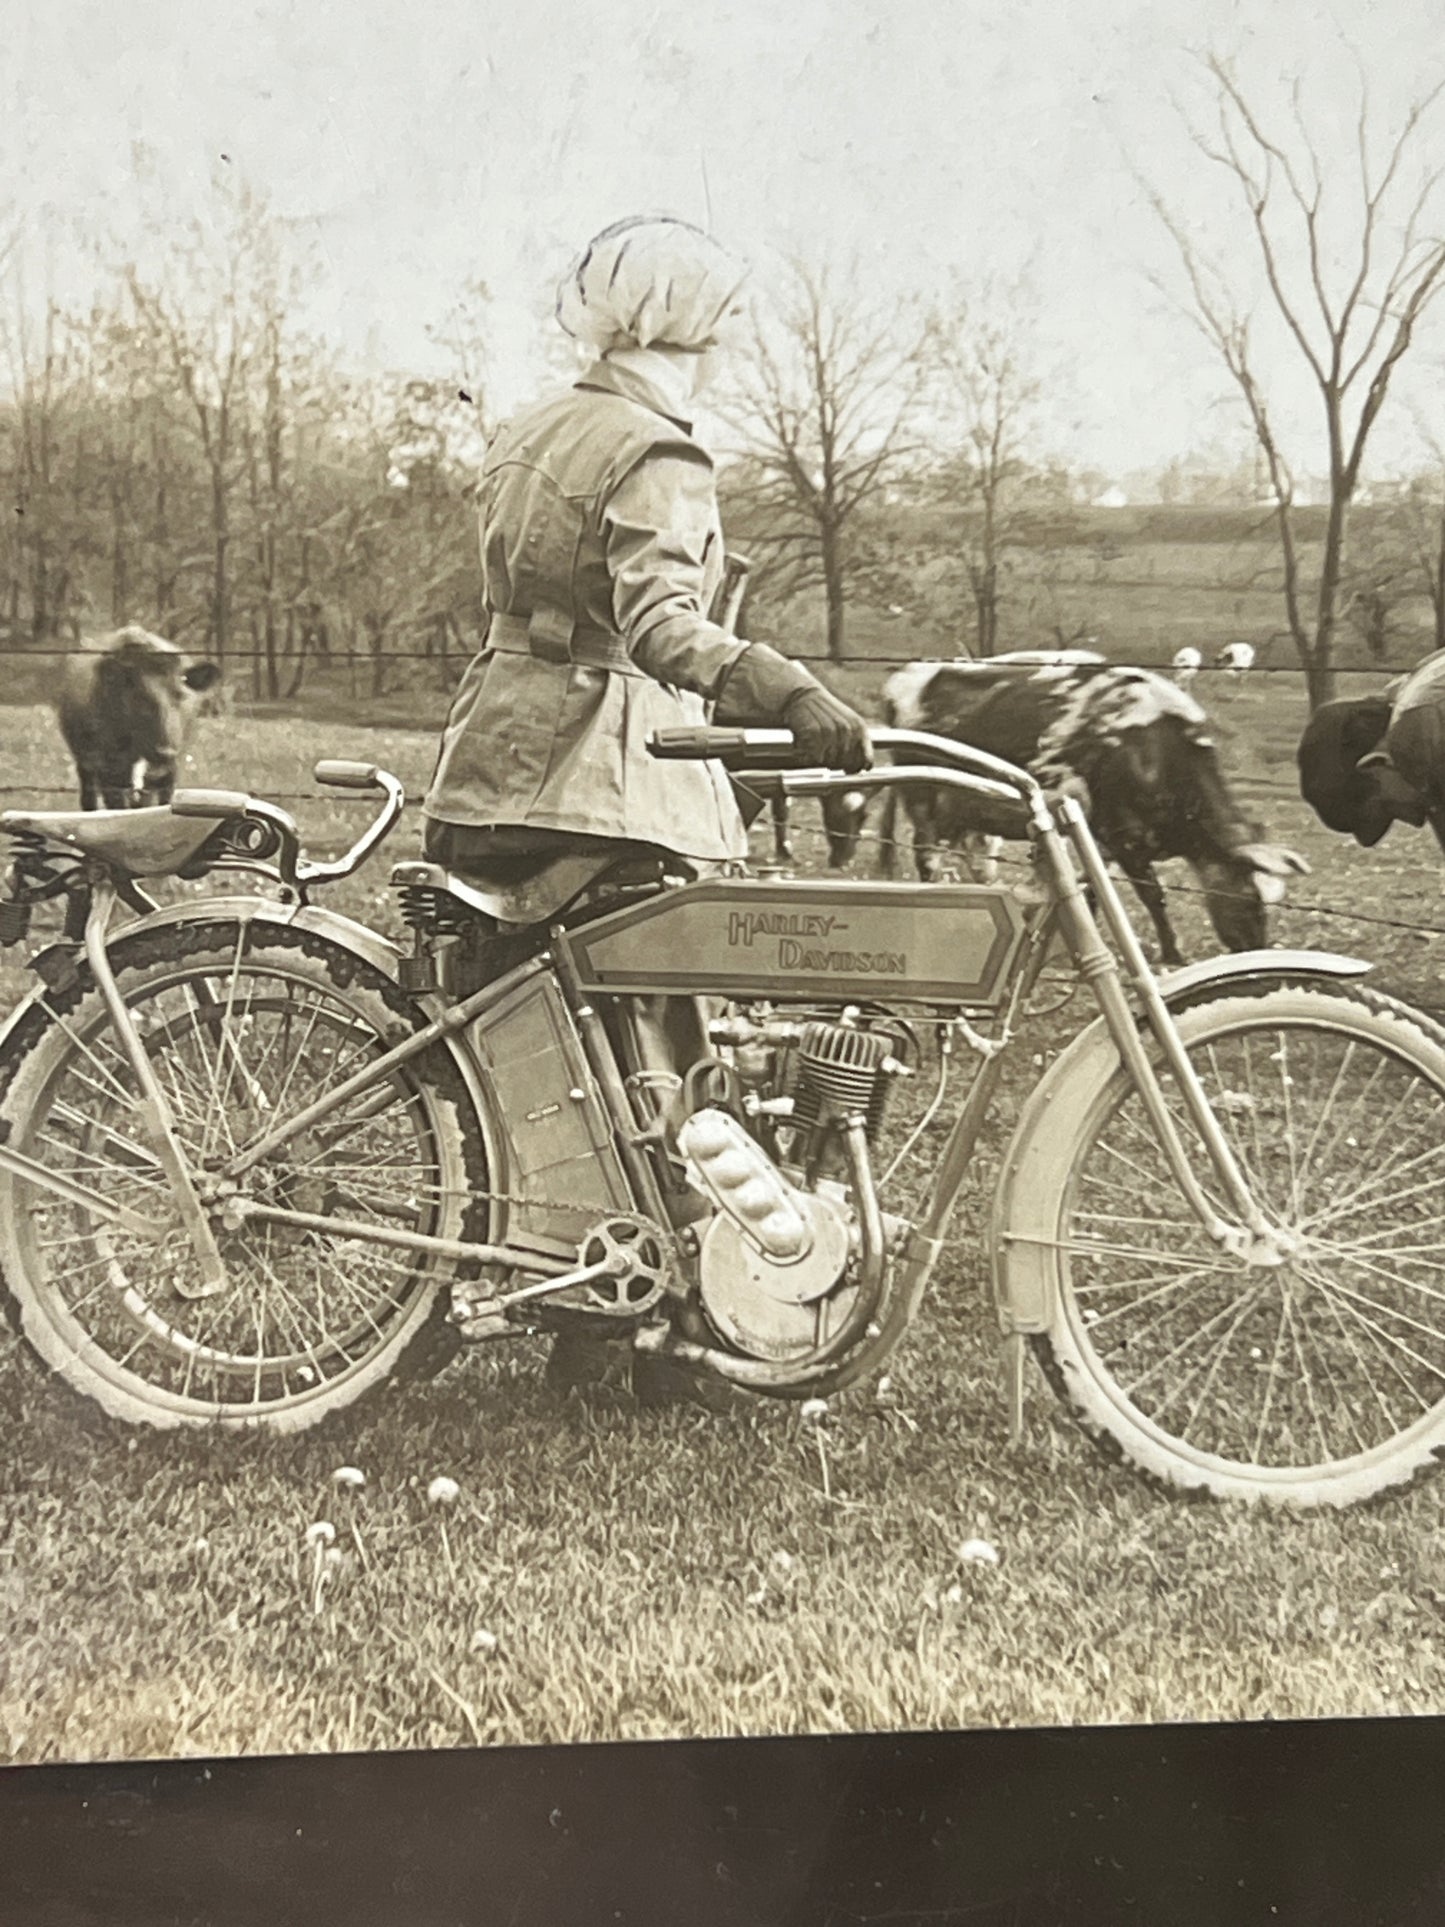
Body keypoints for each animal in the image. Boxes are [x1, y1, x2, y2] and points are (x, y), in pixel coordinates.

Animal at [824, 659, 1310, 963]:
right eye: (1249, 898)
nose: (1255, 948)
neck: (1154, 749)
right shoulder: (1122, 836)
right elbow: (1152, 896)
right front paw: (1172, 952)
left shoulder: (1102, 839)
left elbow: (1090, 890)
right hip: (927, 800)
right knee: (927, 857)